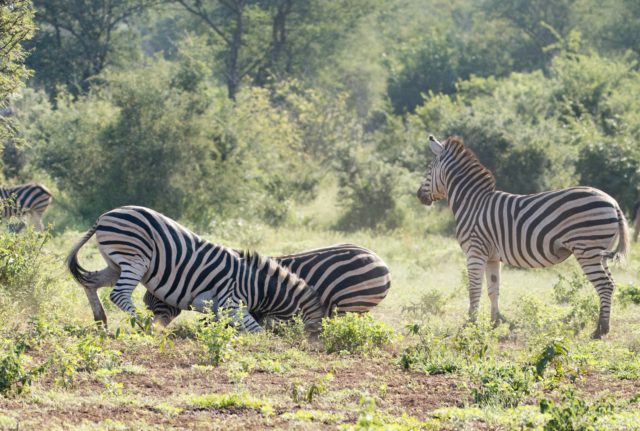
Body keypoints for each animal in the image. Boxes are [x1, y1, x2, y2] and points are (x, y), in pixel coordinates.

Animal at [66, 206, 325, 334]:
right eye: (314, 333)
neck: (258, 287)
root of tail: (105, 216)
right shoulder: (231, 301)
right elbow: (255, 329)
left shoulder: (219, 308)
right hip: (134, 258)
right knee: (118, 295)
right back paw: (144, 324)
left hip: (116, 264)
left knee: (89, 282)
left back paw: (101, 322)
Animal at [416, 135, 629, 339]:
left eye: (428, 169)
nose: (418, 195)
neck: (472, 203)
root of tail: (613, 202)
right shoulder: (492, 257)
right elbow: (493, 290)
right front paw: (495, 324)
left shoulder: (475, 252)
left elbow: (474, 290)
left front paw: (469, 325)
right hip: (599, 253)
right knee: (611, 284)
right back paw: (603, 327)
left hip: (587, 250)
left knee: (604, 286)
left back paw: (600, 331)